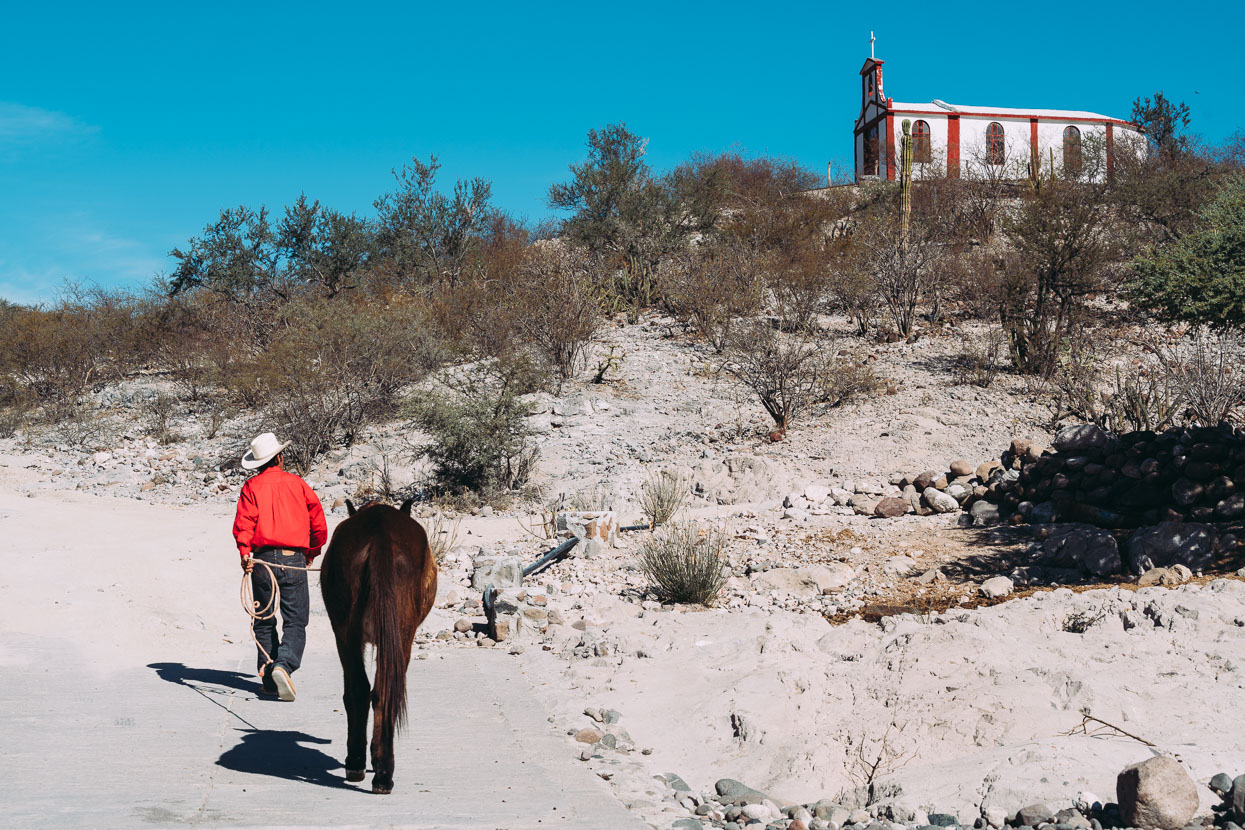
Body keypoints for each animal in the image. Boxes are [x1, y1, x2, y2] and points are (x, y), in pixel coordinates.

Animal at [321, 500, 438, 791]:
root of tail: (379, 533)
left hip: (349, 635)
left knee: (364, 690)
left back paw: (364, 765)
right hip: (396, 635)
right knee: (375, 691)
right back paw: (378, 769)